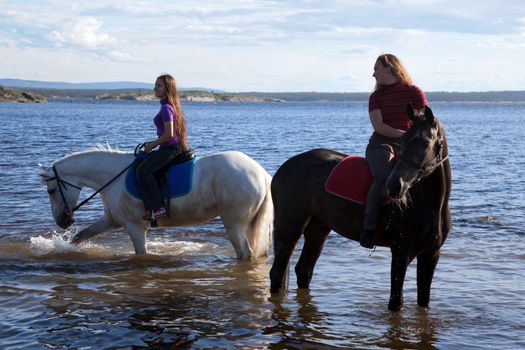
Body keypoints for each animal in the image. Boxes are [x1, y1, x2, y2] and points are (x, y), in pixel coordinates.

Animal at [39, 146, 272, 260]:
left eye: (51, 191)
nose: (62, 221)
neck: (112, 177)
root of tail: (260, 173)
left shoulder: (134, 226)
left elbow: (141, 253)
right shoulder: (112, 220)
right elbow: (81, 236)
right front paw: (63, 249)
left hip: (234, 222)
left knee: (244, 253)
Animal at [270, 105, 450, 310]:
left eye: (426, 143)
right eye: (403, 140)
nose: (395, 185)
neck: (430, 204)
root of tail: (284, 168)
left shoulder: (431, 255)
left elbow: (424, 300)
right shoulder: (400, 253)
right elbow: (396, 302)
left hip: (317, 229)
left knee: (304, 270)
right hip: (289, 228)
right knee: (277, 272)